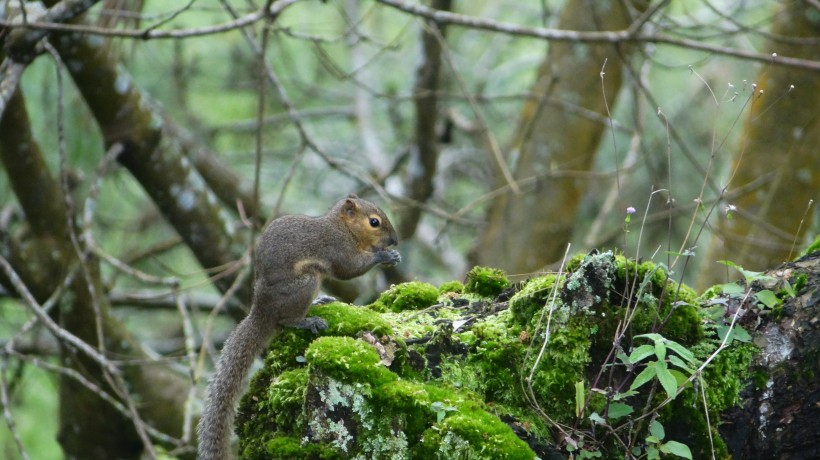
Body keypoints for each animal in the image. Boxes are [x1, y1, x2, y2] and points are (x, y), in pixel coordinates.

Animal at [199, 195, 404, 460]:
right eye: (374, 222)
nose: (395, 240)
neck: (343, 228)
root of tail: (262, 310)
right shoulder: (338, 248)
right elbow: (350, 268)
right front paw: (384, 256)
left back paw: (320, 302)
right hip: (305, 284)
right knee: (287, 320)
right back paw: (309, 320)